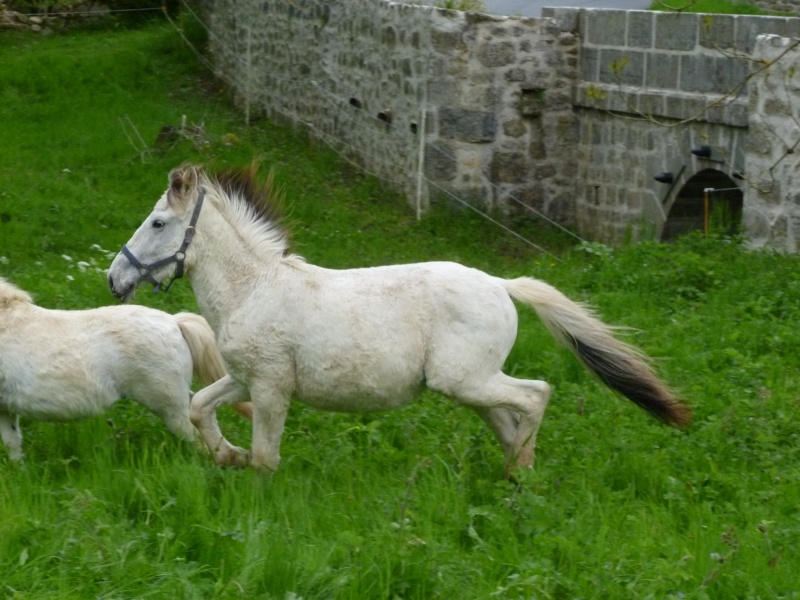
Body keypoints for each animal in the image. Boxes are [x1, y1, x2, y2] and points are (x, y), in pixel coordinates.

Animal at [108, 165, 688, 478]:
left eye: (157, 223)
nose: (115, 278)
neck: (253, 289)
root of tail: (502, 284)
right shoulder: (245, 377)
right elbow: (200, 408)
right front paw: (225, 456)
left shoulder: (271, 387)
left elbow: (266, 457)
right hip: (471, 387)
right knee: (510, 419)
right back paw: (515, 480)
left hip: (463, 380)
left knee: (536, 395)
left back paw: (520, 470)